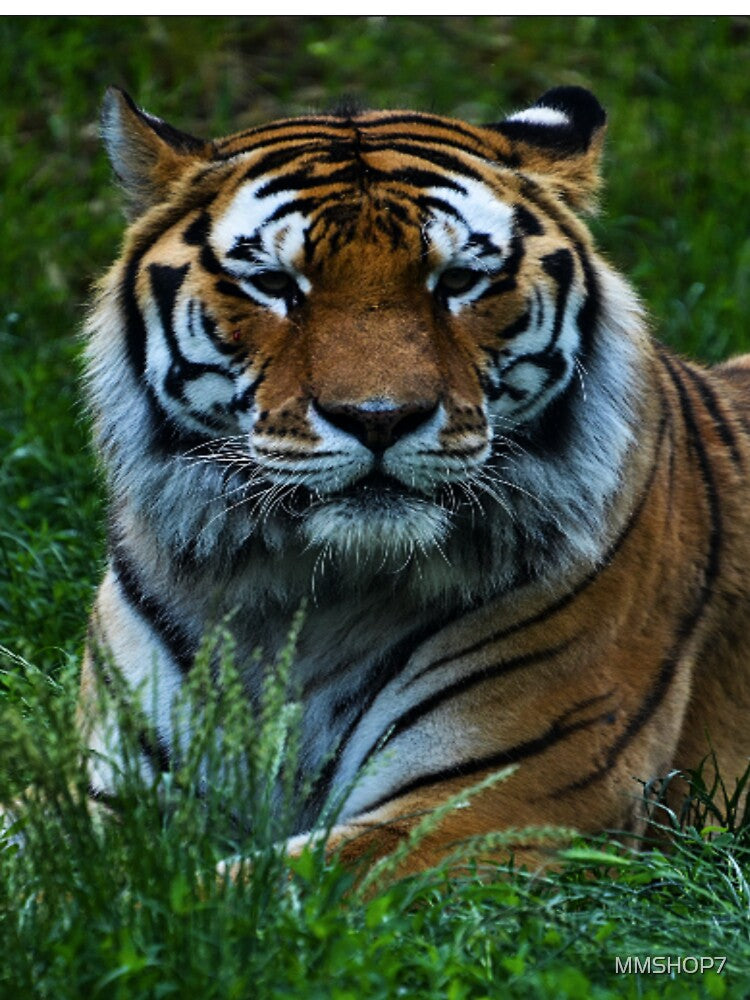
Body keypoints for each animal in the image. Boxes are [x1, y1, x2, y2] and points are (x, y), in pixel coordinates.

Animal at [78, 84, 750, 875]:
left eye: (456, 282)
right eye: (275, 285)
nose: (379, 417)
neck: (310, 594)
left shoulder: (494, 804)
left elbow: (249, 885)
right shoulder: (112, 784)